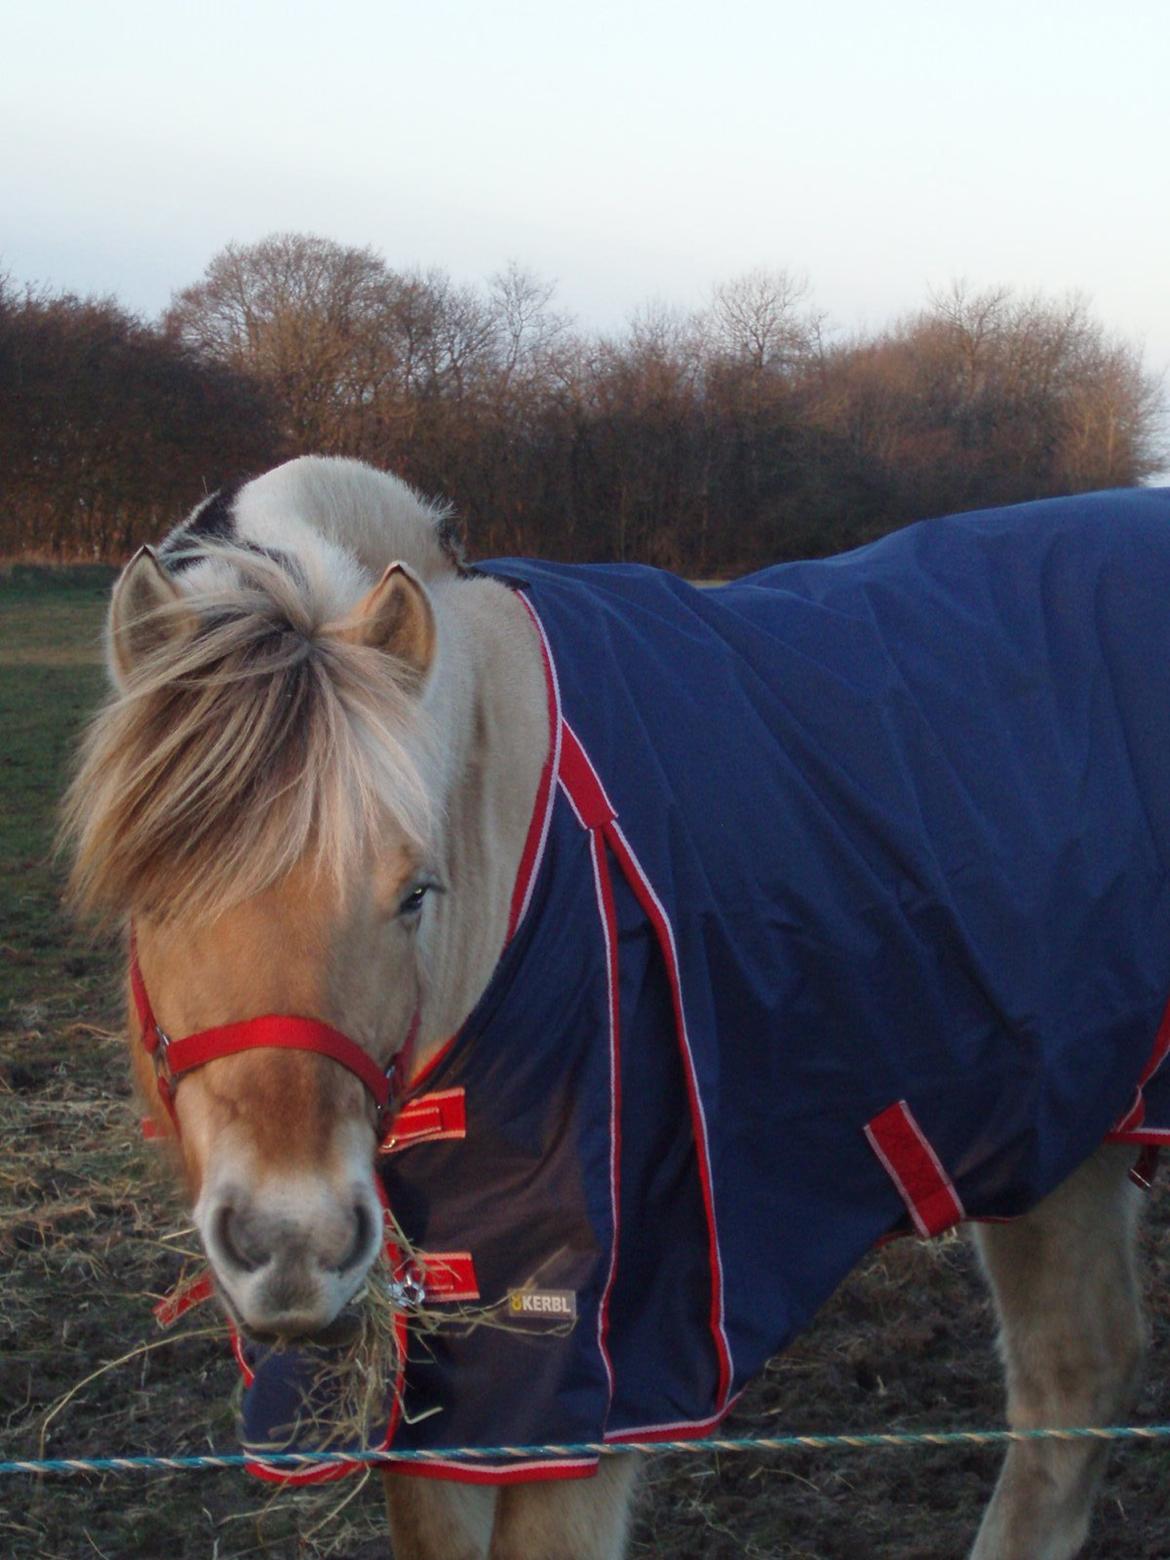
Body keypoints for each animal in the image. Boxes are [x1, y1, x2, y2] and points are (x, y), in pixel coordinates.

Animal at [62, 452, 1170, 1560]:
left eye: (414, 892)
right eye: (147, 898)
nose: (294, 1248)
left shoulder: (592, 1377)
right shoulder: (439, 1378)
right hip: (1058, 1139)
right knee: (1076, 1379)